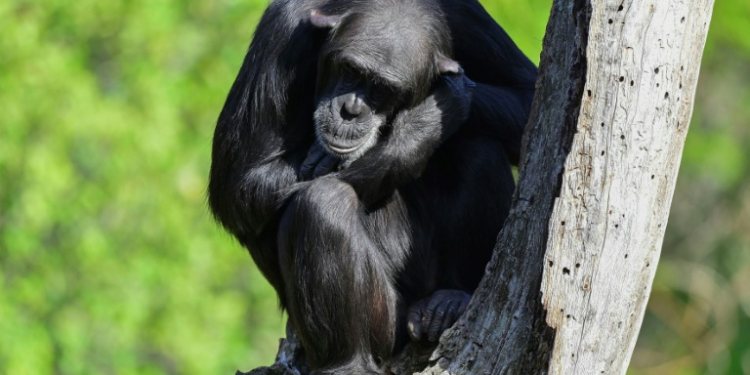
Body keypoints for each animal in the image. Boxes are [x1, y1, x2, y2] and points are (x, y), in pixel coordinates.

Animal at [209, 0, 536, 375]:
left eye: (383, 88)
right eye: (350, 70)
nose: (351, 110)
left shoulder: (465, 14)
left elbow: (528, 98)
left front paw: (436, 104)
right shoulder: (281, 33)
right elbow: (240, 184)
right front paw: (420, 125)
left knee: (480, 146)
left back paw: (450, 300)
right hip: (388, 321)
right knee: (322, 204)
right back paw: (346, 363)